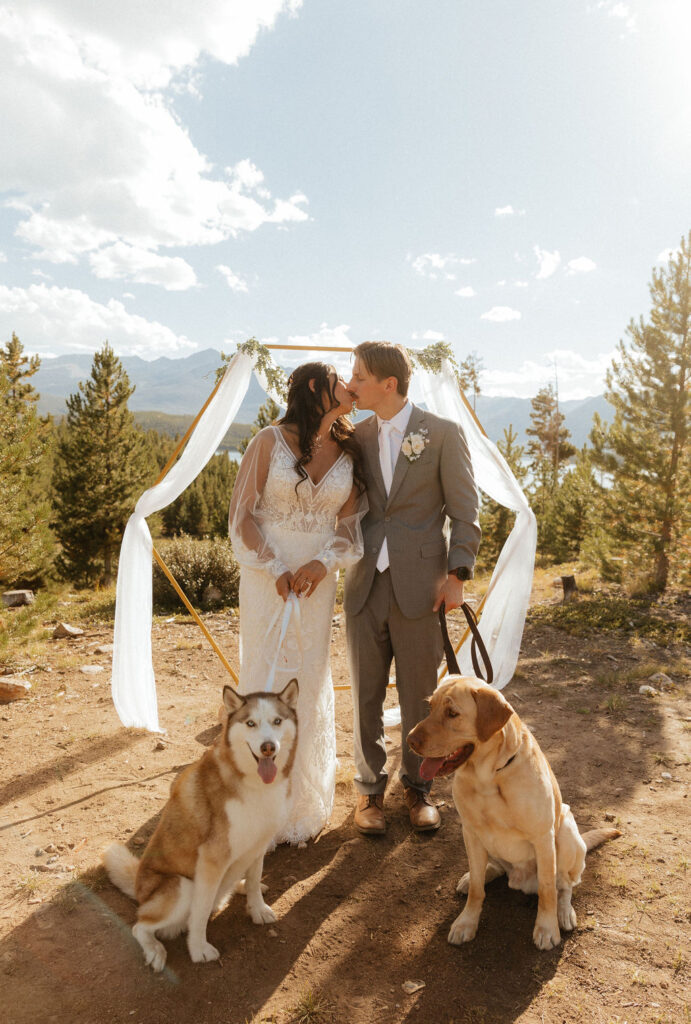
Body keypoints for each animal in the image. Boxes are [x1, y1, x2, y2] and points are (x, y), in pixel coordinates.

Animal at [103, 684, 298, 970]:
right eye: (250, 723)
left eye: (277, 721)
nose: (267, 747)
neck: (253, 784)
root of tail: (139, 887)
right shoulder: (211, 860)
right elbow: (201, 911)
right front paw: (198, 949)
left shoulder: (259, 844)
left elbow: (254, 880)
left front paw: (258, 909)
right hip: (182, 887)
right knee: (140, 926)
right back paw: (155, 950)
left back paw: (238, 886)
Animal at [407, 675, 618, 946]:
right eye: (430, 707)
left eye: (452, 713)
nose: (410, 740)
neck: (488, 778)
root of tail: (520, 880)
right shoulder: (470, 831)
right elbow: (477, 890)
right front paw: (467, 921)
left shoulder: (543, 837)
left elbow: (548, 889)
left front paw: (547, 928)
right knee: (490, 871)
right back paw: (474, 876)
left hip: (567, 831)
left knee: (565, 885)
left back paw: (564, 912)